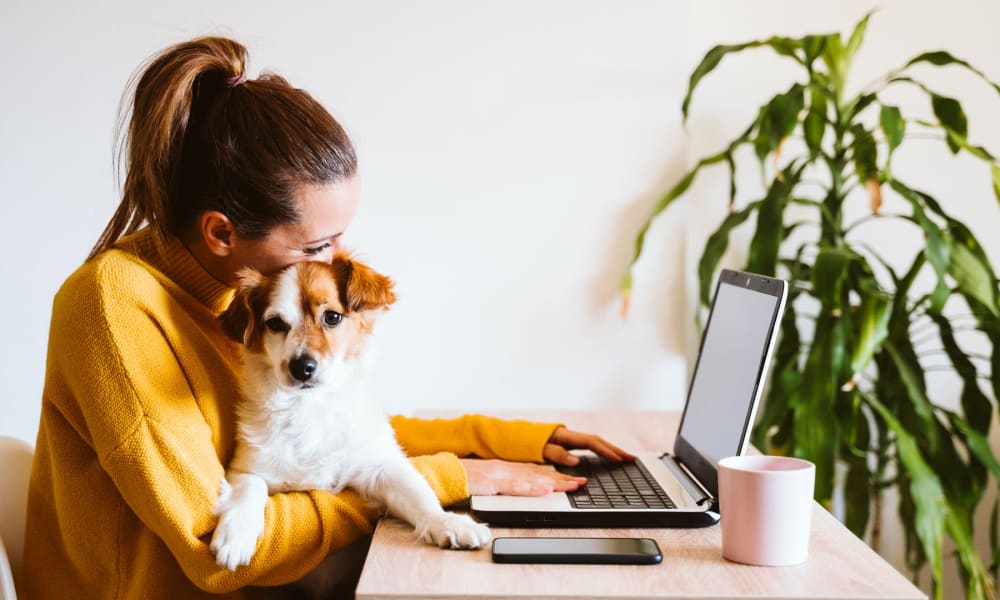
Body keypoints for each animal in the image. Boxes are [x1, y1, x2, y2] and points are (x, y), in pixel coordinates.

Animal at [211, 251, 492, 576]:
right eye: (275, 323)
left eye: (332, 317)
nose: (302, 367)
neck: (310, 407)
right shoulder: (246, 468)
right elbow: (248, 489)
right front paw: (235, 535)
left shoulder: (381, 467)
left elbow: (419, 494)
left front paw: (448, 523)